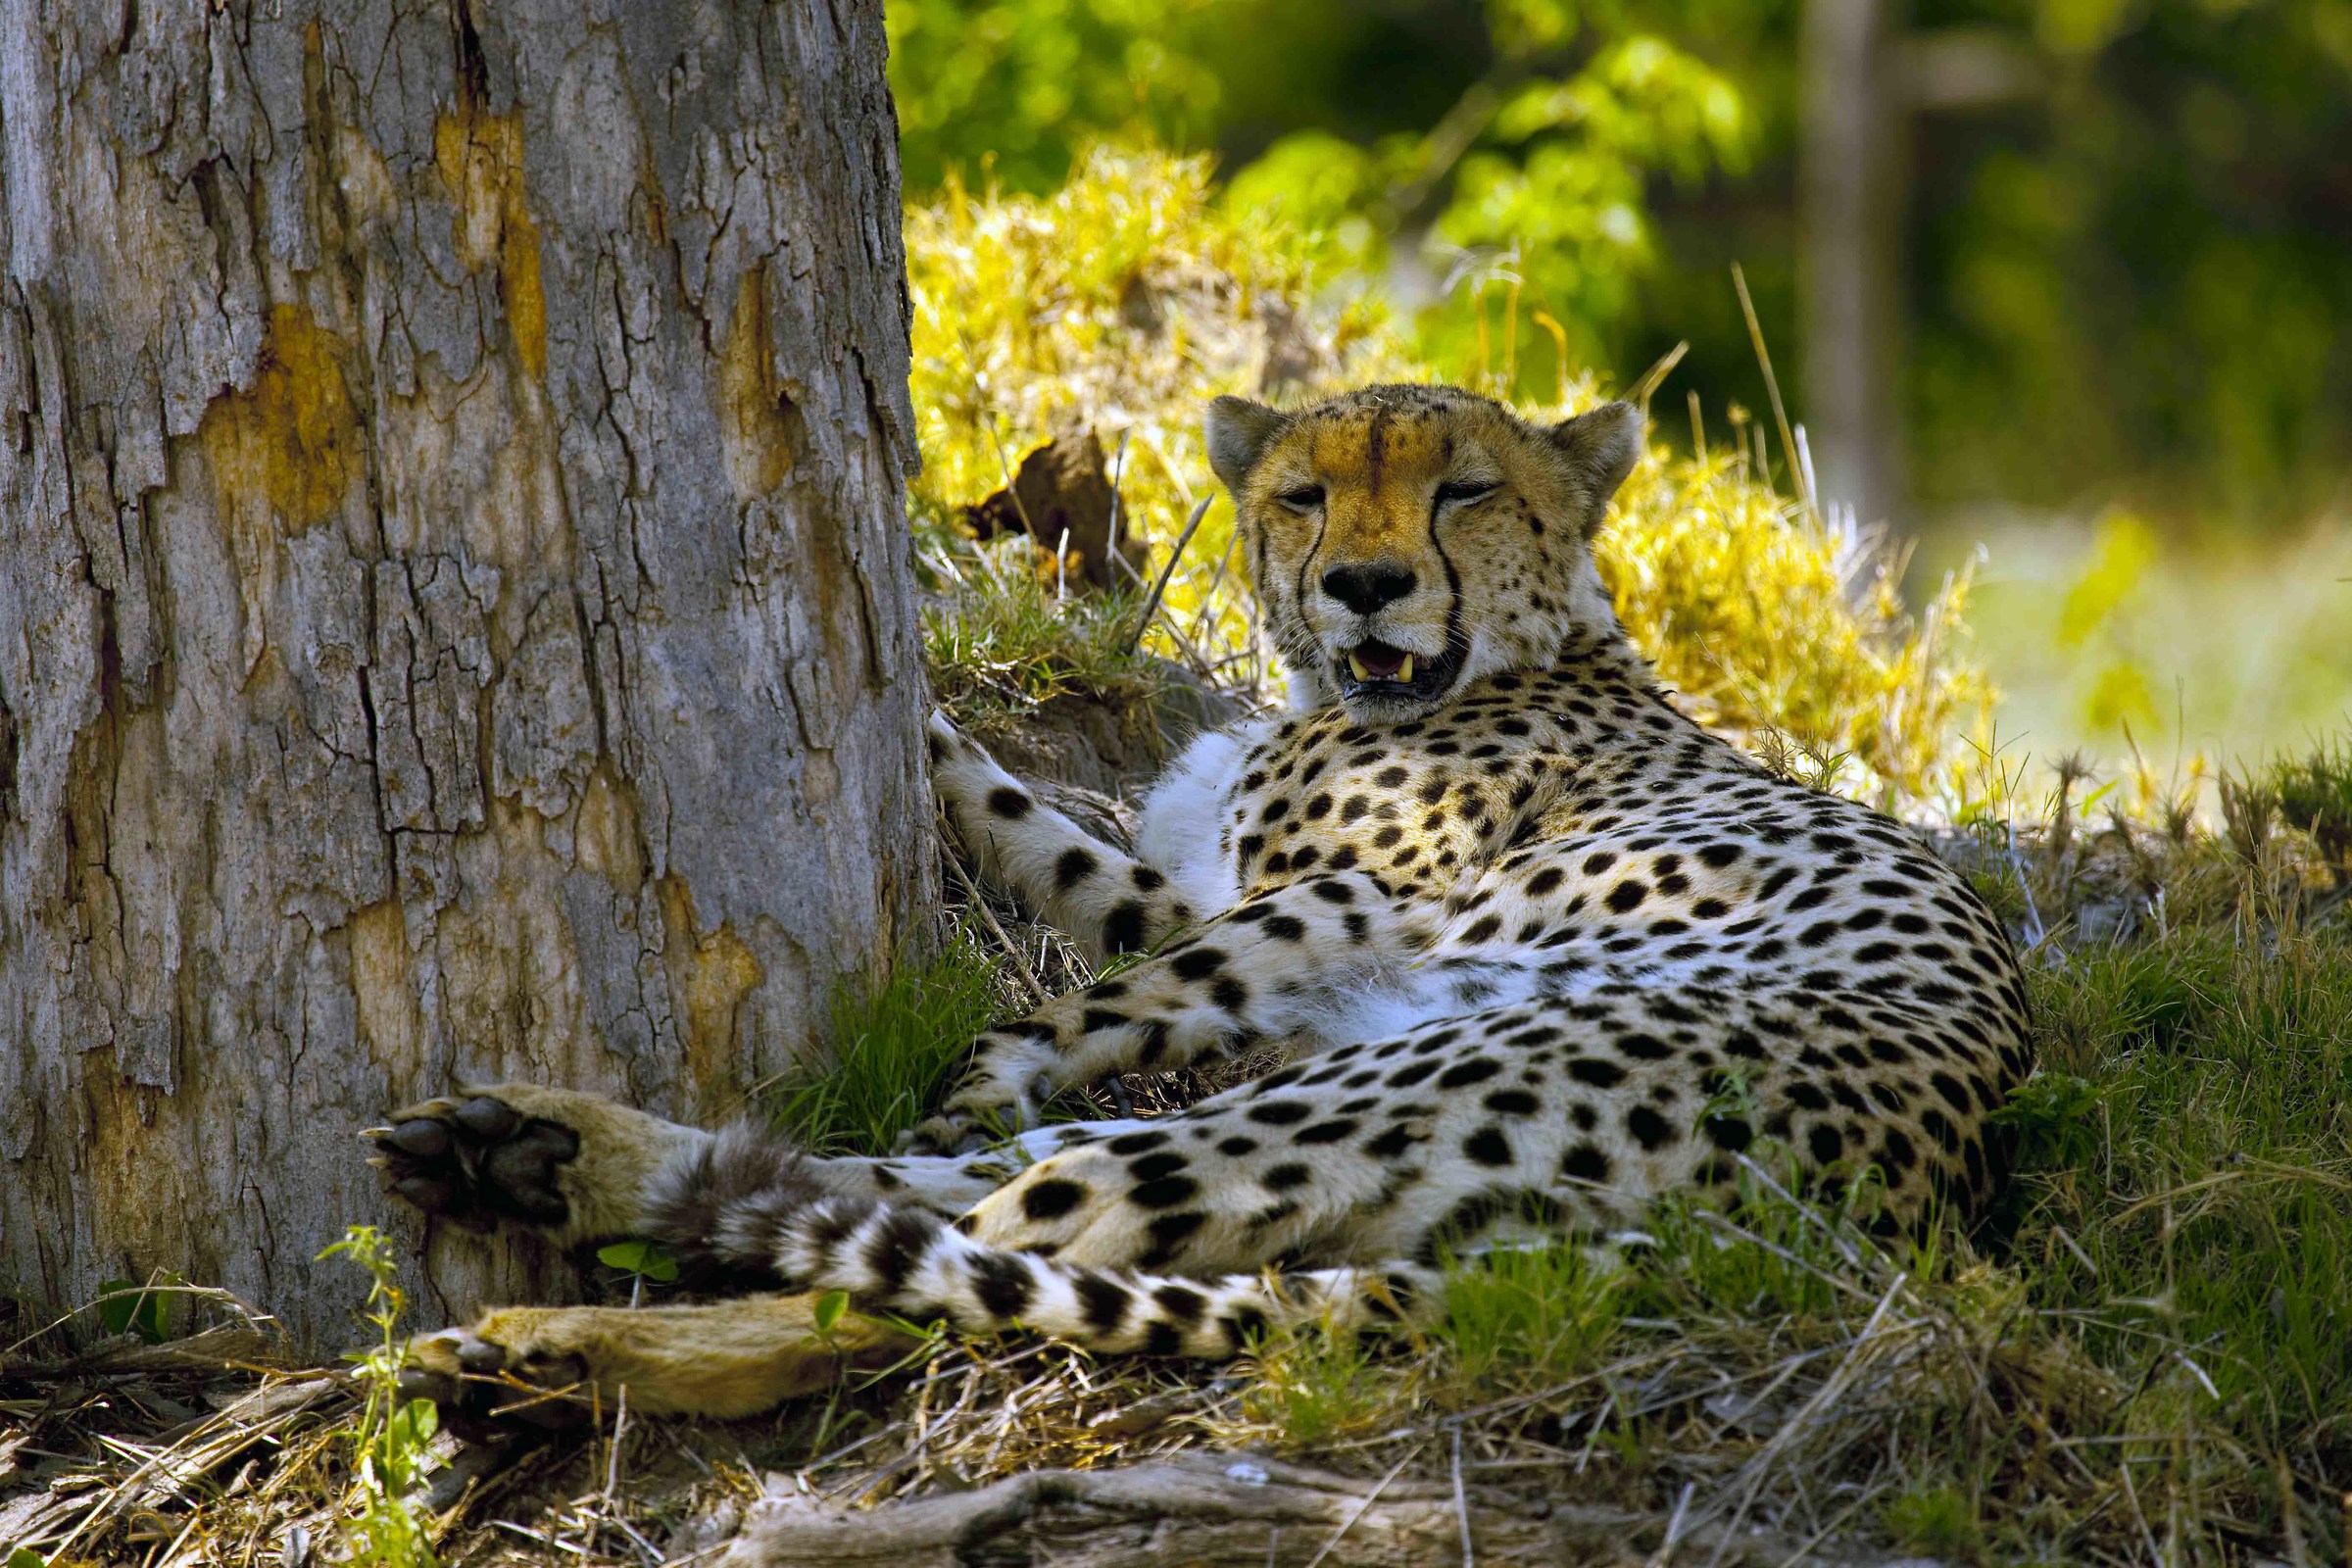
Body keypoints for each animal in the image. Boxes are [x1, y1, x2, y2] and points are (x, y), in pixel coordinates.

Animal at [373, 383, 2034, 1440]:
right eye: (1304, 496)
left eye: (1463, 491)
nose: (1364, 585)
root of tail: (1911, 1209)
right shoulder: (1203, 882)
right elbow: (1049, 844)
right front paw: (934, 734)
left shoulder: (1350, 898)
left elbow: (1103, 990)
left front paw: (994, 1043)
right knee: (946, 1198)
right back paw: (559, 1157)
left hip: (1377, 1088)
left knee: (954, 1266)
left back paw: (562, 1341)